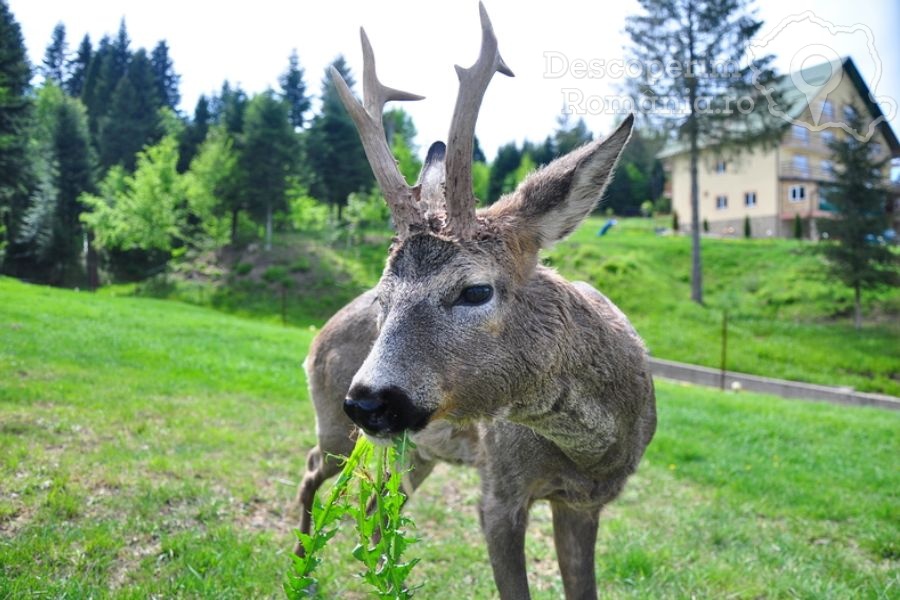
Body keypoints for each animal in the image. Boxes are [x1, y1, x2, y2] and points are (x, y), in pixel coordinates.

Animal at [294, 3, 652, 596]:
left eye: (476, 290)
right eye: (383, 299)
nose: (367, 400)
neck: (588, 450)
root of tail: (316, 339)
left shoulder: (586, 502)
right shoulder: (499, 491)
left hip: (414, 448)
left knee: (378, 514)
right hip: (338, 432)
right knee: (310, 471)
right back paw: (301, 562)